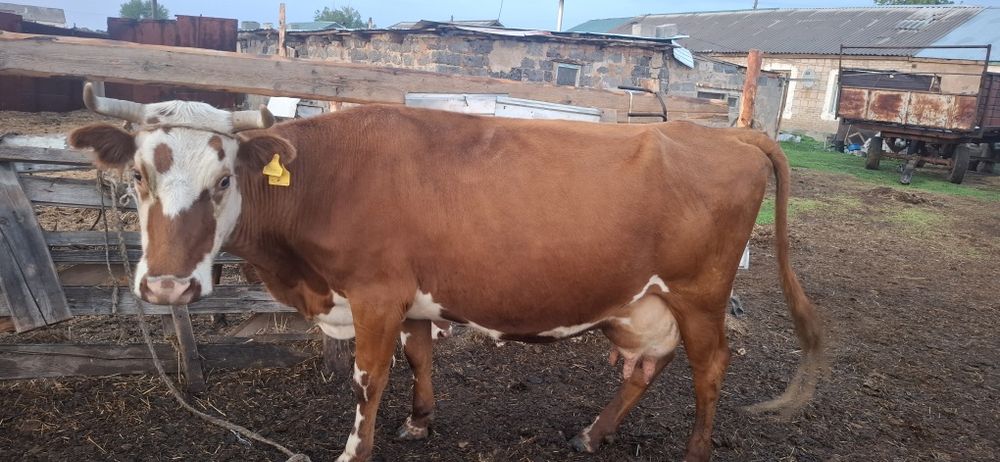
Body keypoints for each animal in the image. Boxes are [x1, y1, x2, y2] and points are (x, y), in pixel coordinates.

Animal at [69, 83, 823, 462]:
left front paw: (357, 449)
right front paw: (420, 422)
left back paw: (693, 452)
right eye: (137, 177)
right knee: (646, 365)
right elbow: (419, 355)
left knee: (710, 368)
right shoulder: (409, 295)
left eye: (224, 180)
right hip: (643, 301)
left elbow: (368, 380)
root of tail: (728, 134)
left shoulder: (375, 294)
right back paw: (592, 433)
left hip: (700, 292)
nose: (167, 287)